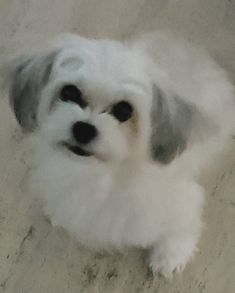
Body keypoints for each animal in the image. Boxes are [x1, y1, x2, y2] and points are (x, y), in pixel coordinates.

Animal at [3, 32, 235, 276]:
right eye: (69, 92)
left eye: (124, 110)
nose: (84, 128)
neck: (104, 171)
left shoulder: (178, 198)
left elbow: (182, 225)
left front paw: (169, 255)